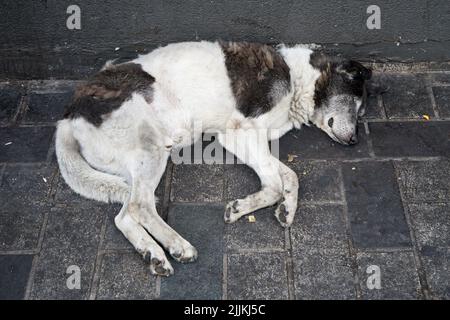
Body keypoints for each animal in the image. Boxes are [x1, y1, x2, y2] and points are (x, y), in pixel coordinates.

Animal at [56, 40, 372, 276]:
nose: (355, 141)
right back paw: (177, 245)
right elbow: (273, 185)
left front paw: (287, 210)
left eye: (361, 113)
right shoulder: (238, 133)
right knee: (140, 206)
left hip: (133, 168)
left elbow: (290, 177)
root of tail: (68, 116)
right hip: (151, 147)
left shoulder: (253, 141)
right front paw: (241, 208)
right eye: (356, 106)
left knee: (124, 215)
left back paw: (153, 254)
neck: (298, 79)